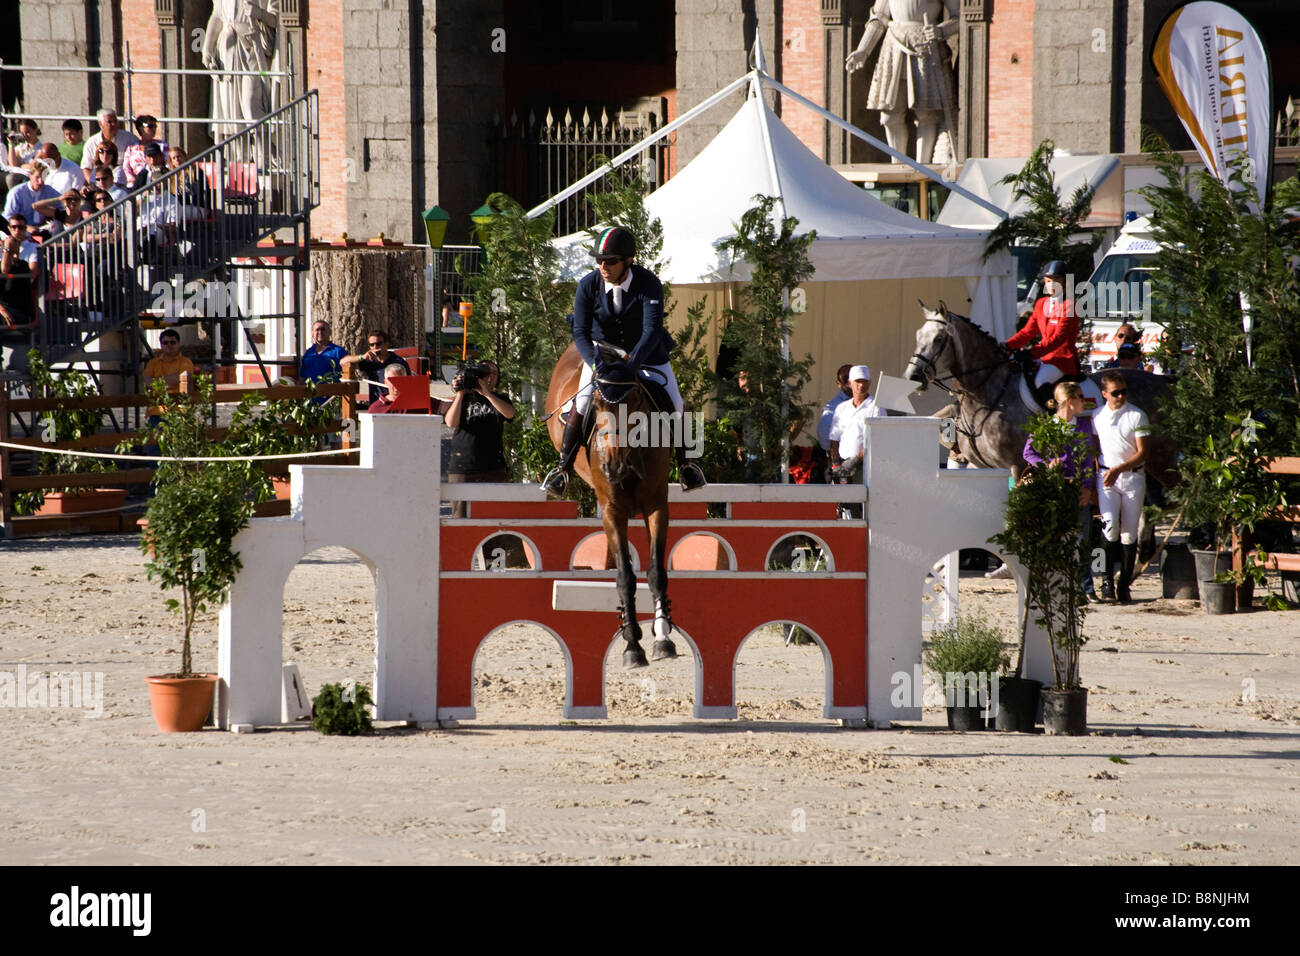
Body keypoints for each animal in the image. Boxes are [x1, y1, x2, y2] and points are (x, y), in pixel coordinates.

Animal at [543, 343, 676, 671]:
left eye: (636, 399)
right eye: (598, 405)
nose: (613, 466)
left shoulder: (657, 506)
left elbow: (656, 571)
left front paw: (663, 637)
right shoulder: (612, 511)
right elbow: (625, 577)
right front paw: (632, 645)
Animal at [904, 299, 1180, 489]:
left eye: (939, 339)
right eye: (917, 335)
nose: (913, 376)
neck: (985, 394)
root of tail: (1163, 380)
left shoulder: (1017, 466)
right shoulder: (978, 466)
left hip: (1162, 456)